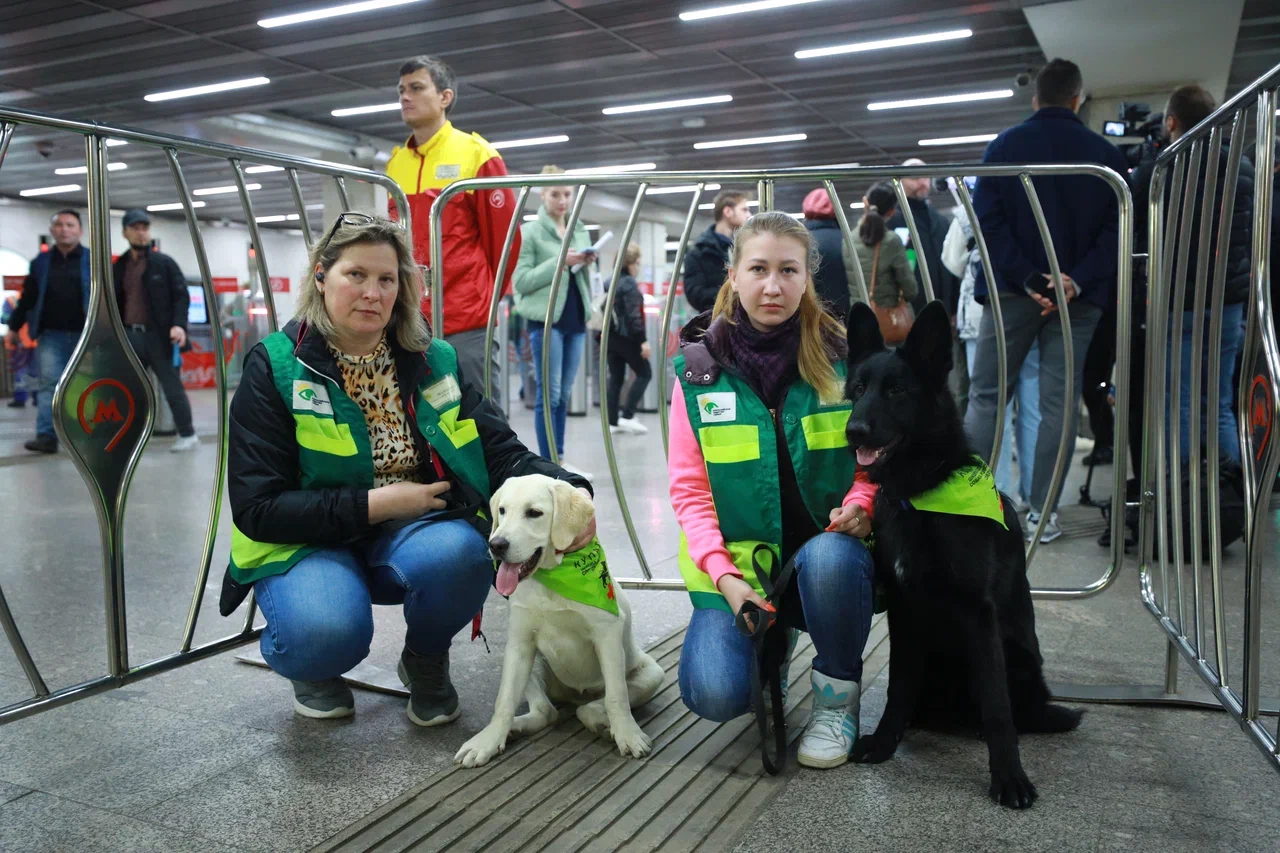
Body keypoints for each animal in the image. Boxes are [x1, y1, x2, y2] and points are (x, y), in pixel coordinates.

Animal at [455, 471, 665, 763]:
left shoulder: (607, 637)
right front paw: (489, 740)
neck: (553, 578)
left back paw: (603, 722)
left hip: (651, 673)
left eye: (534, 513)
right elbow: (504, 700)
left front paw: (628, 735)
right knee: (546, 711)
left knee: (593, 705)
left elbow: (617, 696)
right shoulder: (520, 642)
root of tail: (575, 695)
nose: (496, 545)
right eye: (502, 511)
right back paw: (515, 727)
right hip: (529, 661)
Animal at [844, 302, 1085, 809]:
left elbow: (996, 706)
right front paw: (885, 741)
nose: (853, 431)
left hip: (1016, 656)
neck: (919, 494)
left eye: (896, 390)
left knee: (1016, 710)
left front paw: (1009, 776)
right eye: (858, 390)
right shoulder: (904, 613)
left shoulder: (979, 615)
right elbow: (897, 685)